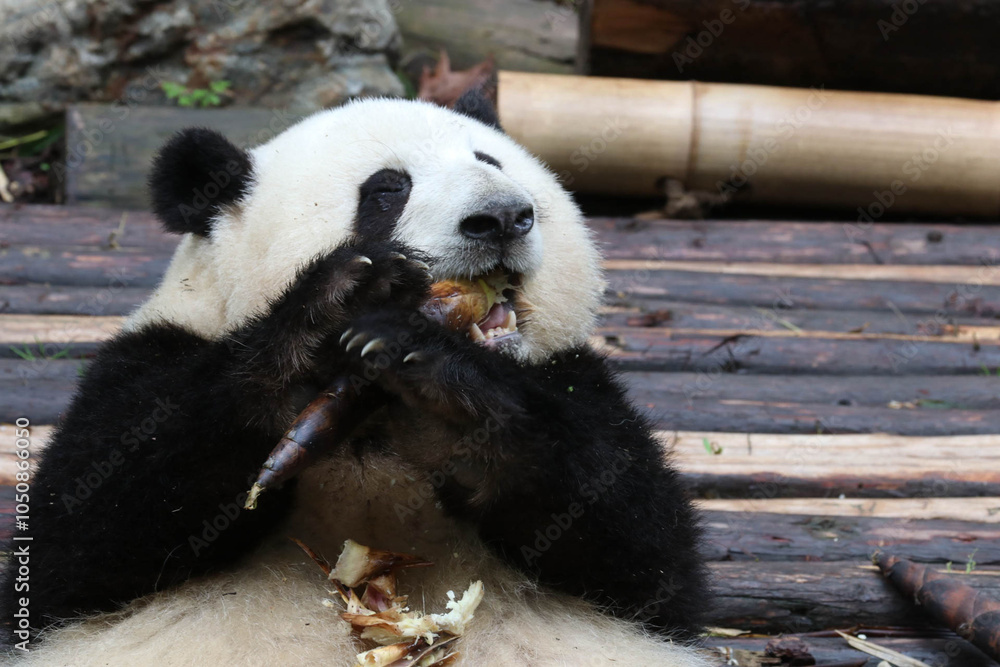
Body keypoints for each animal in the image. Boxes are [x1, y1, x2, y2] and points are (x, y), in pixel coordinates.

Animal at [2, 91, 710, 666]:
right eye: (387, 190)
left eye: (493, 162)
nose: (504, 217)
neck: (374, 427)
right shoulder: (156, 352)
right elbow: (81, 534)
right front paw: (333, 306)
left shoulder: (573, 375)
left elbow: (648, 555)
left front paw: (441, 377)